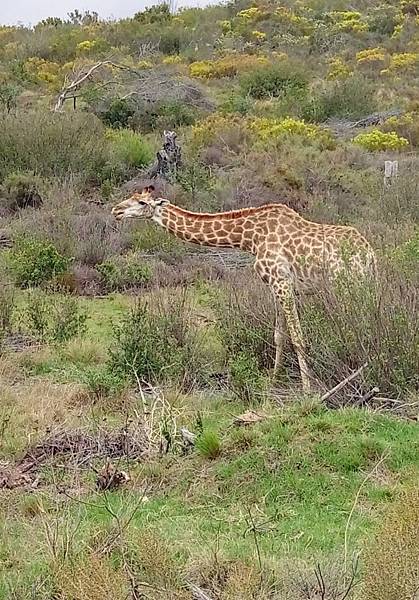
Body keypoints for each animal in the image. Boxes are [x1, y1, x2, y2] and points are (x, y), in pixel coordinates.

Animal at [112, 186, 377, 391]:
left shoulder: (282, 283)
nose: (116, 211)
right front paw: (274, 380)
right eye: (131, 196)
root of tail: (369, 254)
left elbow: (298, 338)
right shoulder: (276, 286)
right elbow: (279, 335)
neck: (249, 238)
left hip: (348, 285)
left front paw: (307, 388)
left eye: (142, 202)